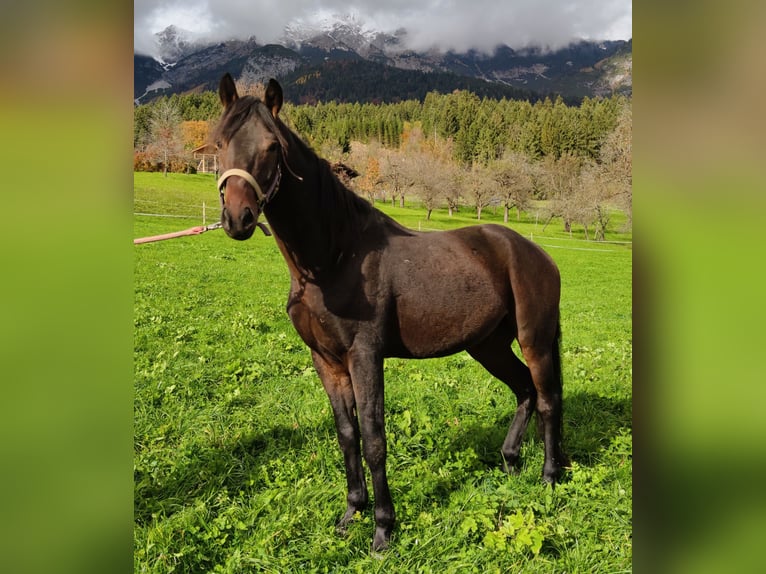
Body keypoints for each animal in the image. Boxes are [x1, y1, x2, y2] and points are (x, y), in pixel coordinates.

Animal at [211, 74, 567, 551]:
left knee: (547, 399)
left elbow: (374, 437)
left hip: (535, 340)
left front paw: (383, 529)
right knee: (525, 389)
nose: (238, 218)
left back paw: (548, 477)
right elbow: (347, 436)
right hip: (487, 346)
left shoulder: (365, 356)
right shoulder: (326, 360)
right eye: (219, 142)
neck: (335, 258)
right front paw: (351, 514)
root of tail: (535, 252)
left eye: (271, 146)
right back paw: (511, 461)